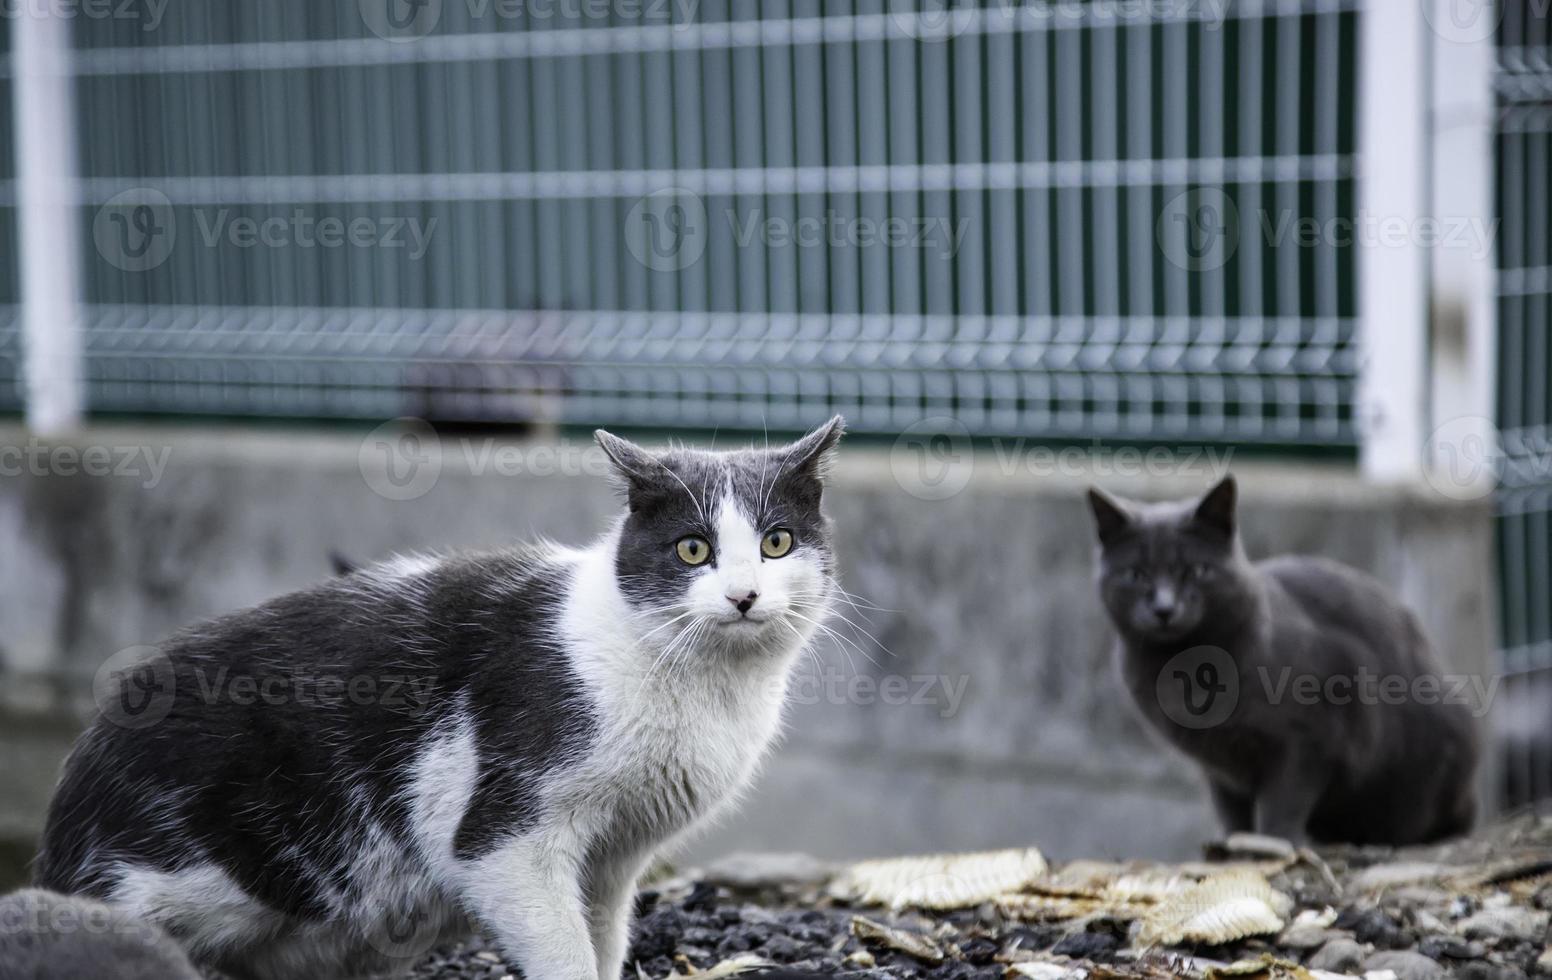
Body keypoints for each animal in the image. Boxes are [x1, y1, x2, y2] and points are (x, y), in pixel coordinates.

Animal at [30, 419, 844, 980]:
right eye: (692, 549)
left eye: (776, 543)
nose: (743, 596)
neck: (711, 688)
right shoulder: (506, 837)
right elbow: (562, 951)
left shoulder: (616, 858)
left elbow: (606, 942)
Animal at [1086, 475, 1483, 844]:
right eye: (1135, 575)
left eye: (1196, 571)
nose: (1164, 608)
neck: (1184, 667)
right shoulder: (1217, 766)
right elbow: (1230, 808)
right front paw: (1234, 842)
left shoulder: (1310, 739)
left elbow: (1284, 800)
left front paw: (1275, 841)